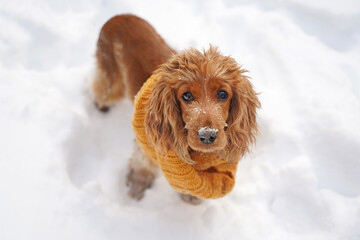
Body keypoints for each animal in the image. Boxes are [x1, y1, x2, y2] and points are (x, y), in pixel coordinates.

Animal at [90, 13, 258, 204]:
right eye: (187, 96)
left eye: (223, 94)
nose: (208, 136)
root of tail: (118, 16)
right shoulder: (146, 144)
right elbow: (142, 165)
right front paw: (137, 186)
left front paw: (191, 198)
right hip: (111, 80)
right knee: (100, 89)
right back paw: (101, 107)